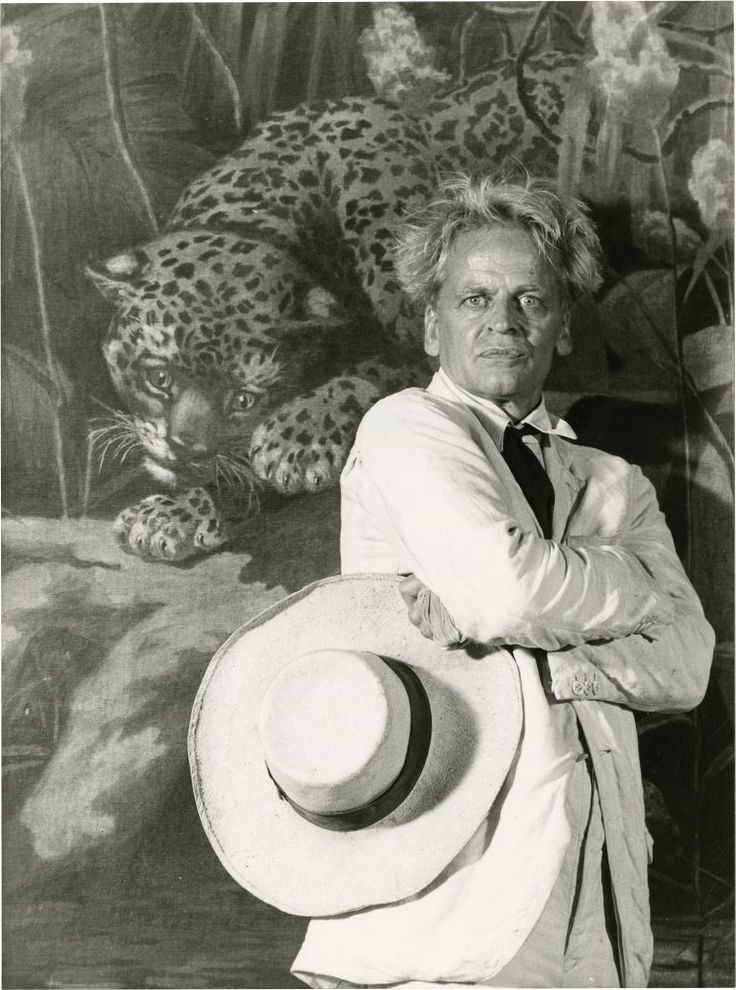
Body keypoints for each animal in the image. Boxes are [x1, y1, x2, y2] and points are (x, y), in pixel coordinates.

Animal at [88, 53, 577, 562]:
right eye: (159, 377)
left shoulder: (421, 344)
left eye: (244, 399)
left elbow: (369, 375)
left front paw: (295, 440)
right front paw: (177, 509)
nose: (184, 449)